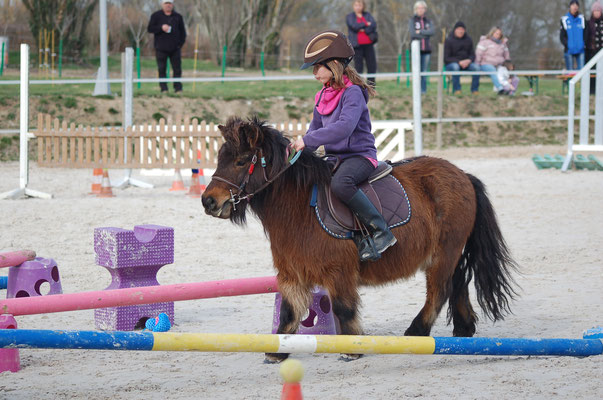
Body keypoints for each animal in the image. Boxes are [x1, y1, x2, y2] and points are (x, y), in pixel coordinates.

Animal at [203, 116, 520, 362]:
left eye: (241, 161)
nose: (209, 201)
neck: (299, 207)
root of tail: (462, 174)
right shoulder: (291, 273)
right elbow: (289, 313)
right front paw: (277, 351)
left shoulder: (338, 272)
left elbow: (344, 308)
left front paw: (351, 348)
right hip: (450, 253)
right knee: (457, 283)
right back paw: (464, 331)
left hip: (444, 253)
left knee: (439, 291)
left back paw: (416, 333)